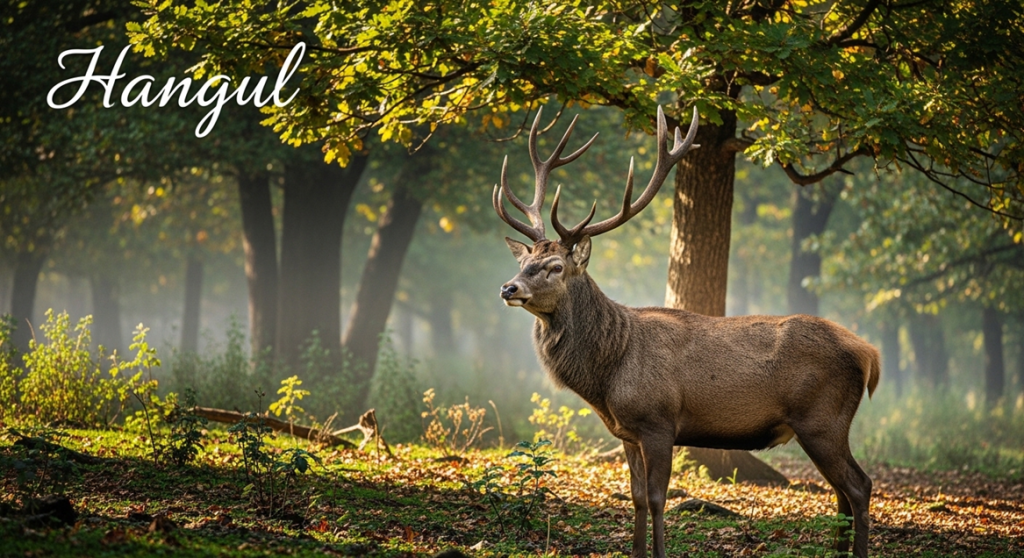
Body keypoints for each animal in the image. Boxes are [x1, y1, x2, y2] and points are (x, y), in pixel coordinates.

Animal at [493, 106, 880, 558]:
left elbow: (658, 498)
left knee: (859, 486)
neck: (608, 374)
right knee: (841, 492)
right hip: (822, 426)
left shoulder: (659, 421)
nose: (508, 287)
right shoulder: (626, 432)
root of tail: (869, 353)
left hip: (823, 419)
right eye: (524, 262)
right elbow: (636, 497)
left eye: (555, 266)